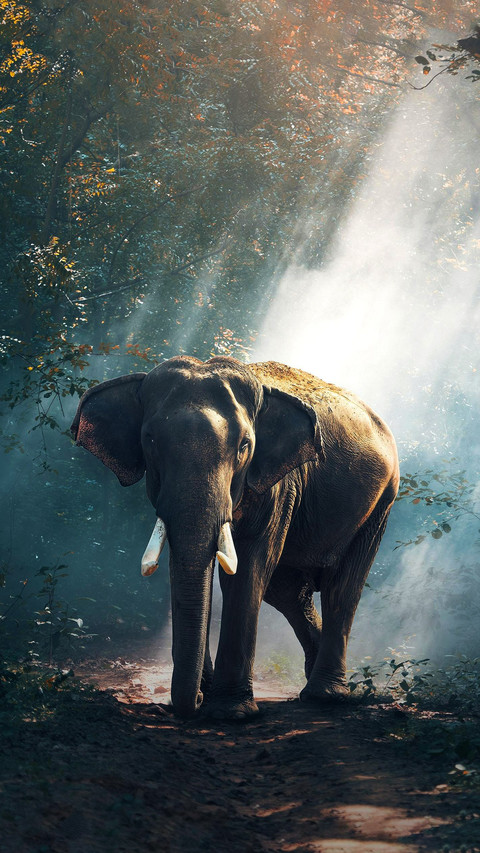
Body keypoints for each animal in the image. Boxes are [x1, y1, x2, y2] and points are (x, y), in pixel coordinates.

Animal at [71, 356, 399, 719]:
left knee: (342, 587)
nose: (195, 701)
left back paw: (325, 696)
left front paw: (230, 712)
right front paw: (209, 696)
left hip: (381, 502)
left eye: (244, 446)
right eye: (150, 440)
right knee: (288, 591)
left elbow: (249, 567)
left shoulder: (279, 485)